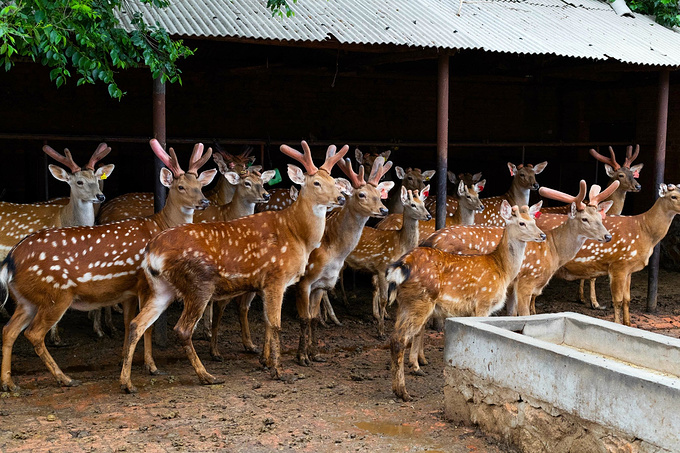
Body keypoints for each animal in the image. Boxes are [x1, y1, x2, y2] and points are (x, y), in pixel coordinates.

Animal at [0, 139, 216, 390]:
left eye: (199, 184)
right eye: (180, 186)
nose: (204, 201)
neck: (159, 225)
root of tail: (10, 260)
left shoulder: (129, 289)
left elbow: (129, 322)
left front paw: (127, 361)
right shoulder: (143, 283)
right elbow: (146, 326)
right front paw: (151, 366)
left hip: (26, 300)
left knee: (9, 330)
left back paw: (8, 383)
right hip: (55, 295)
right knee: (33, 334)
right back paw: (65, 378)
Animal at [117, 139, 348, 390]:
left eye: (334, 181)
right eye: (316, 182)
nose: (341, 198)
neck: (297, 234)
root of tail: (151, 251)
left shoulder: (264, 283)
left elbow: (267, 323)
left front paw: (265, 362)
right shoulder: (276, 276)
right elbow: (276, 324)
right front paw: (279, 371)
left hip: (162, 288)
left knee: (137, 324)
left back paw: (127, 382)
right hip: (199, 284)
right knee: (182, 329)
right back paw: (206, 375)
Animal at [342, 185, 432, 338]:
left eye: (424, 204)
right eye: (413, 204)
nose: (429, 216)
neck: (400, 244)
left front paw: (384, 317)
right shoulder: (382, 266)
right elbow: (384, 298)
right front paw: (381, 331)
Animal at [388, 201, 548, 400]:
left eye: (534, 220)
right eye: (521, 223)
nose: (542, 235)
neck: (502, 270)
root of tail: (401, 266)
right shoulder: (483, 302)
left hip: (404, 303)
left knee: (395, 336)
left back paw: (400, 386)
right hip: (420, 300)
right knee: (401, 338)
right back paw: (404, 392)